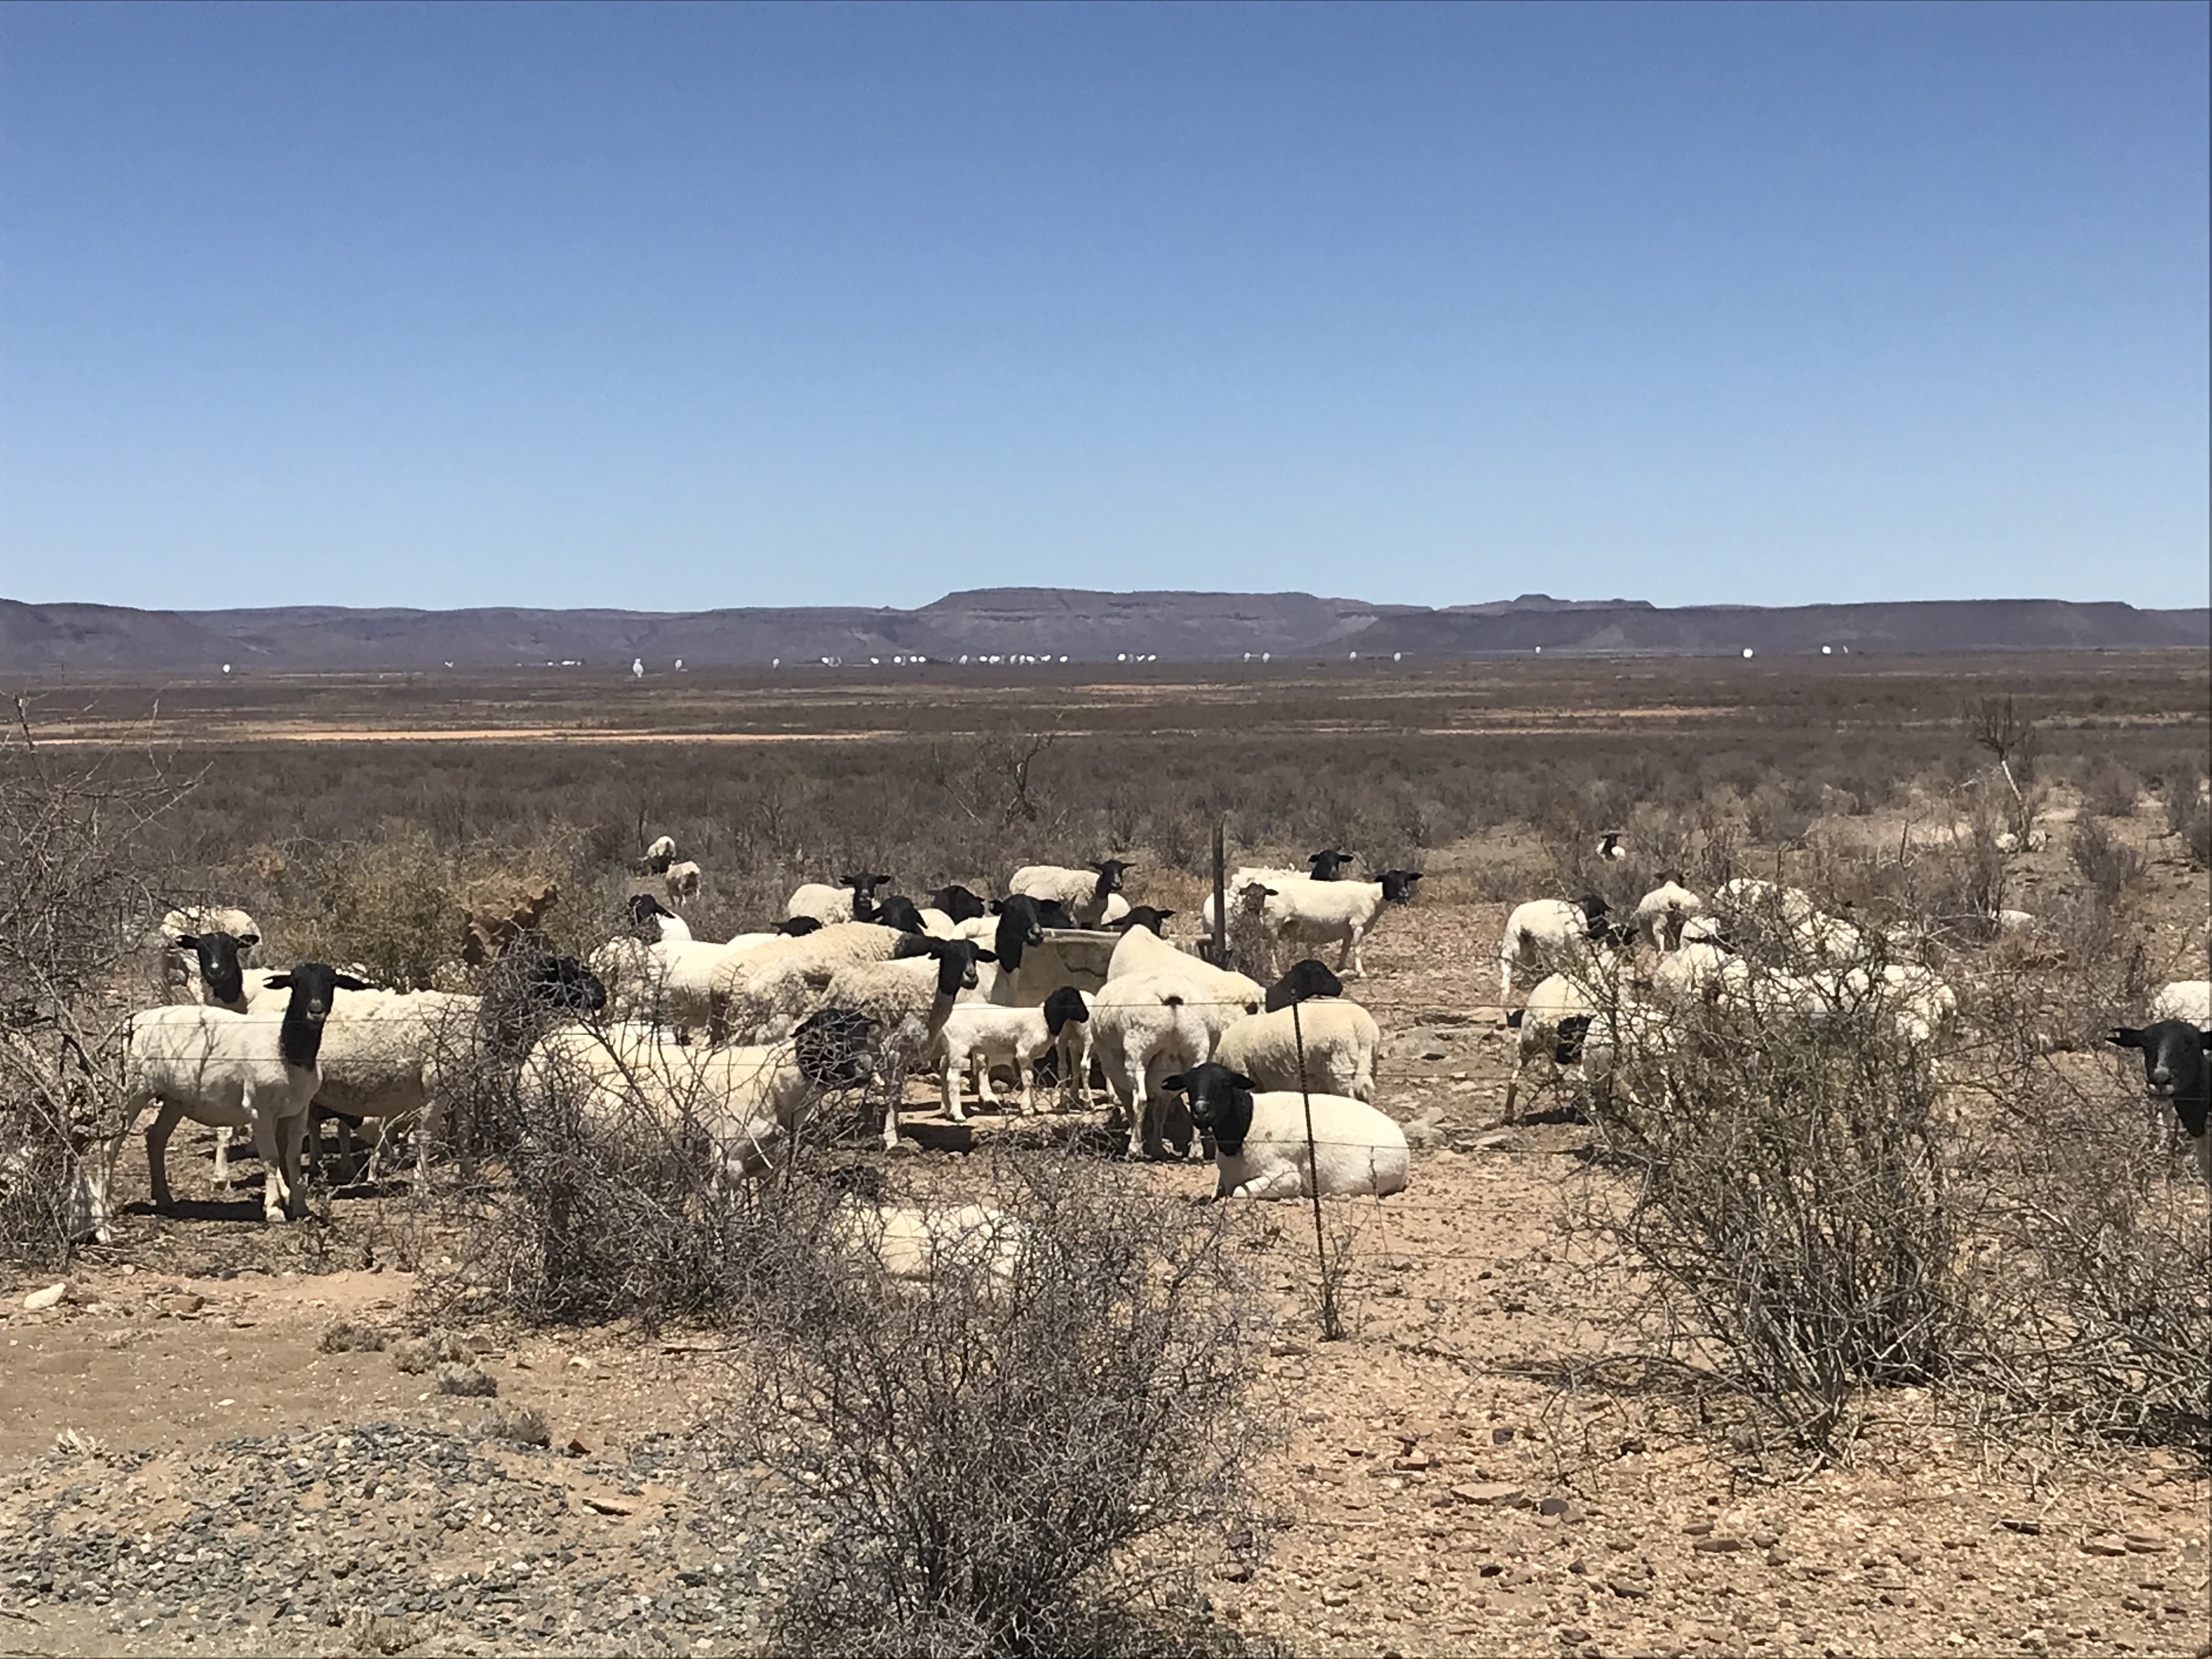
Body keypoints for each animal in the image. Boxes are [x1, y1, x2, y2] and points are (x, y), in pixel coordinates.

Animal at [121, 963, 369, 1224]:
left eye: (332, 982)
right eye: (296, 983)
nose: (316, 1011)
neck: (286, 1049)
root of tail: (134, 1020)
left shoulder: (298, 1111)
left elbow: (292, 1156)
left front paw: (301, 1208)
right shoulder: (259, 1110)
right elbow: (271, 1158)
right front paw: (274, 1209)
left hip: (174, 1100)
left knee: (155, 1137)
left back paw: (164, 1199)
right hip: (135, 1089)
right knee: (112, 1142)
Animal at [819, 937, 995, 1149]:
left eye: (976, 956)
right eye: (951, 954)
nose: (972, 978)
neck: (929, 1004)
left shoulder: (905, 1055)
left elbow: (898, 1095)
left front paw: (897, 1133)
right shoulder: (892, 1050)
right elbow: (893, 1094)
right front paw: (890, 1137)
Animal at [933, 986, 1092, 1120]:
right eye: (1074, 1000)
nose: (1087, 1016)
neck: (1044, 1019)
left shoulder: (1030, 1056)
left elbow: (1031, 1079)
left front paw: (1033, 1108)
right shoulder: (1024, 1052)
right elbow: (1028, 1080)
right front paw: (1027, 1109)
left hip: (950, 1049)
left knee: (944, 1073)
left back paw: (948, 1111)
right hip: (959, 1048)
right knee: (953, 1078)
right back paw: (958, 1115)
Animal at [1006, 859, 1133, 928]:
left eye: (1121, 870)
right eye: (1106, 870)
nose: (1118, 884)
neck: (1096, 891)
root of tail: (1016, 878)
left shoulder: (1096, 921)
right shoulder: (1076, 918)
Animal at [1233, 870, 1422, 980]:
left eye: (1406, 880)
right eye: (1391, 880)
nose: (1405, 895)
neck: (1373, 897)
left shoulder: (1348, 929)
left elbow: (1345, 949)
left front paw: (1340, 969)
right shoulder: (1358, 924)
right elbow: (1358, 949)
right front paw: (1361, 972)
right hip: (1273, 921)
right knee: (1270, 949)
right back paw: (1275, 972)